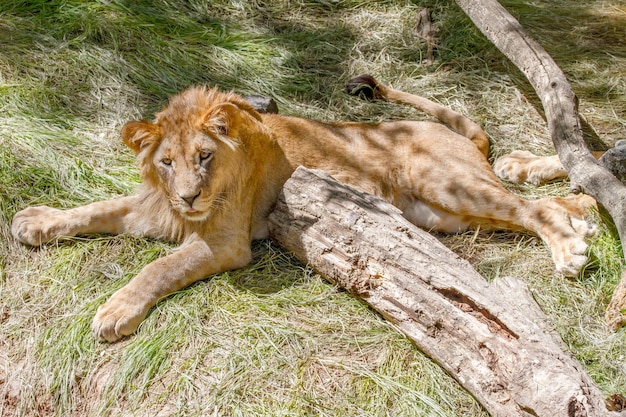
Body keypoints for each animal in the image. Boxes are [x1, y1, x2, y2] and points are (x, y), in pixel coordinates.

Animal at [12, 75, 592, 342]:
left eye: (204, 157)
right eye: (167, 163)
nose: (190, 196)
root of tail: (455, 135)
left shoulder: (226, 242)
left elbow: (160, 267)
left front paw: (115, 311)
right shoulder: (154, 206)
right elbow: (94, 208)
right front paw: (35, 221)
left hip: (446, 183)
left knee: (537, 209)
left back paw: (571, 248)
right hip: (444, 213)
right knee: (541, 203)